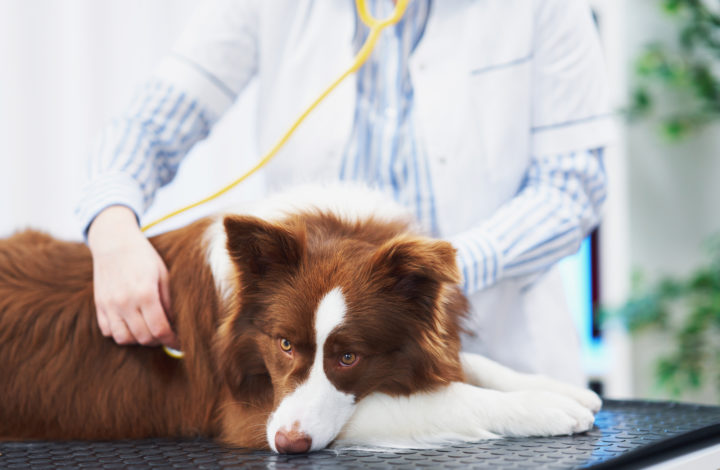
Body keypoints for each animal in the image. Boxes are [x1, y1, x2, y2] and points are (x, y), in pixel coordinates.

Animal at [0, 184, 600, 452]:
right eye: (284, 344)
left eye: (349, 355)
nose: (288, 445)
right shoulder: (247, 412)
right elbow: (442, 398)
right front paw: (544, 406)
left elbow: (468, 364)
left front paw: (557, 387)